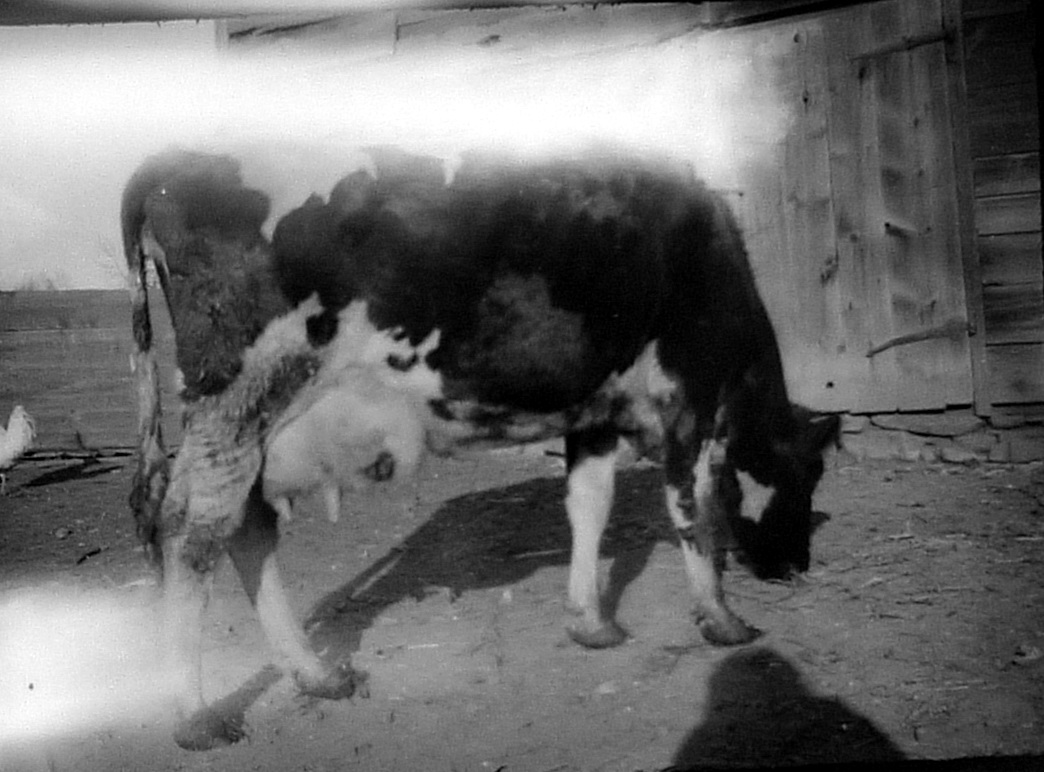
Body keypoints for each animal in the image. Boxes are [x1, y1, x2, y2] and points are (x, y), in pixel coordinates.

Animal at [122, 145, 840, 750]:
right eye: (804, 479)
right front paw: (721, 620)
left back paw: (315, 675)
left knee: (246, 527)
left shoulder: (593, 408)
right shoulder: (690, 394)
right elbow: (694, 511)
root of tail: (174, 156)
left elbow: (590, 506)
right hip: (240, 396)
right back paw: (196, 716)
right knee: (192, 529)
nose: (795, 567)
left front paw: (590, 622)